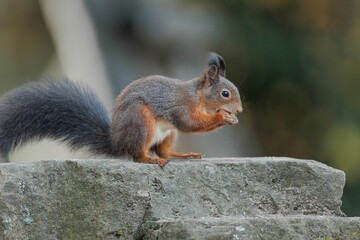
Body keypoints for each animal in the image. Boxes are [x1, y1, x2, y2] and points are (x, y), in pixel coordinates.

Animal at [0, 52, 243, 166]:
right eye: (225, 93)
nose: (239, 110)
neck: (197, 95)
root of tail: (117, 142)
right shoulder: (180, 107)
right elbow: (190, 123)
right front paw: (223, 116)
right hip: (140, 121)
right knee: (138, 155)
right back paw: (149, 160)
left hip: (167, 132)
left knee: (163, 150)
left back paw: (184, 155)